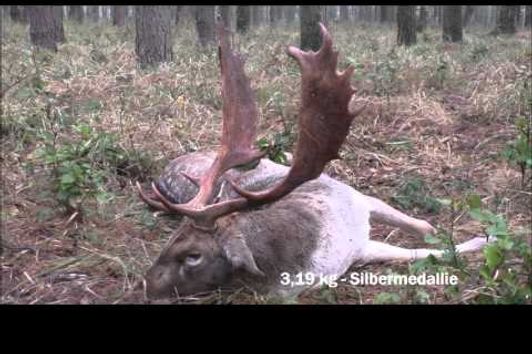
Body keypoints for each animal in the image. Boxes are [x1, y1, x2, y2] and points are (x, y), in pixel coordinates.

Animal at [136, 24, 490, 302]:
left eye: (192, 256)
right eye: (171, 239)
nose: (145, 285)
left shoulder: (358, 200)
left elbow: (425, 230)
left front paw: (483, 236)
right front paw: (482, 237)